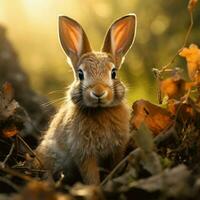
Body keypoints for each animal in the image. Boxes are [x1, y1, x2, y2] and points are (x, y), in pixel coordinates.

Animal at [32, 13, 137, 184]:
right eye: (80, 74)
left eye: (113, 73)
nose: (98, 92)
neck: (100, 111)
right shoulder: (83, 152)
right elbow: (90, 174)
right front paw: (95, 186)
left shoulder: (117, 148)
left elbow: (115, 165)